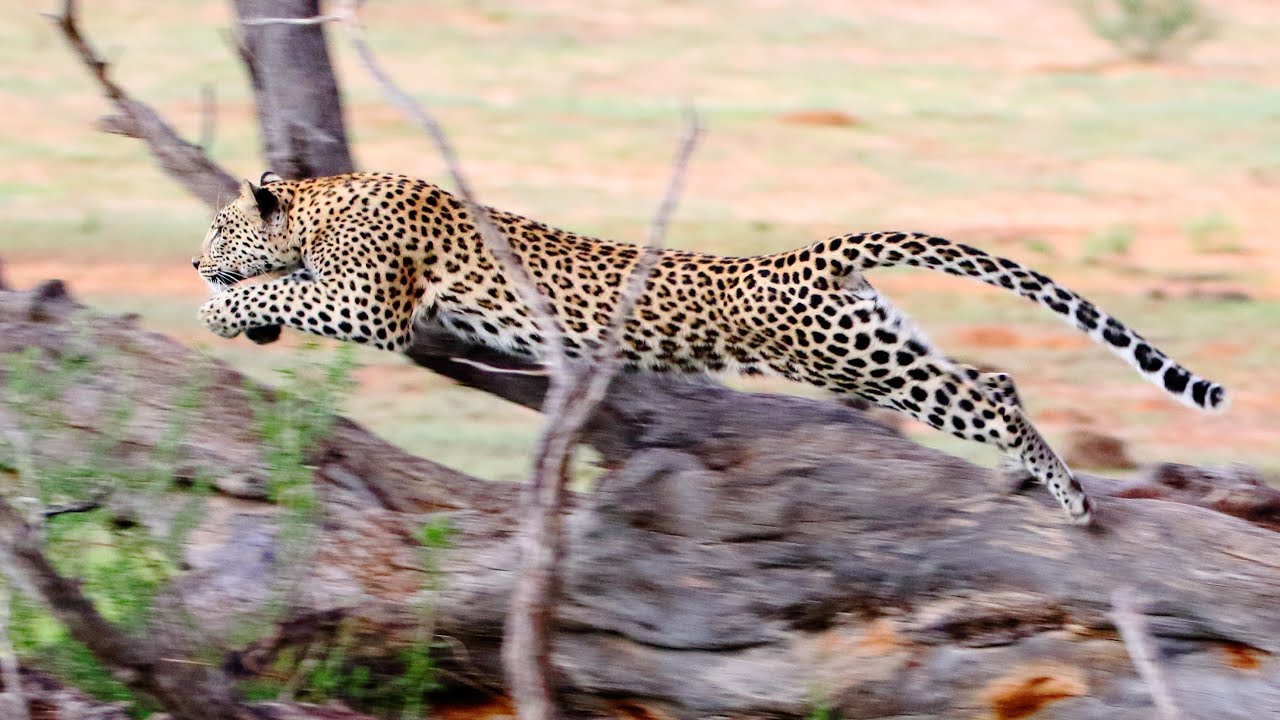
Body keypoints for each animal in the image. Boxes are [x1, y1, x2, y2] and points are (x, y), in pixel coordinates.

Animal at [194, 171, 1230, 525]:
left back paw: (1068, 496)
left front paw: (225, 308)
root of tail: (803, 256)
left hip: (854, 359)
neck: (321, 198)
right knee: (993, 374)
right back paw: (1043, 479)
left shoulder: (371, 302)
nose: (196, 259)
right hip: (880, 340)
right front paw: (240, 312)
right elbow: (284, 290)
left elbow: (286, 286)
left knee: (986, 396)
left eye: (214, 228)